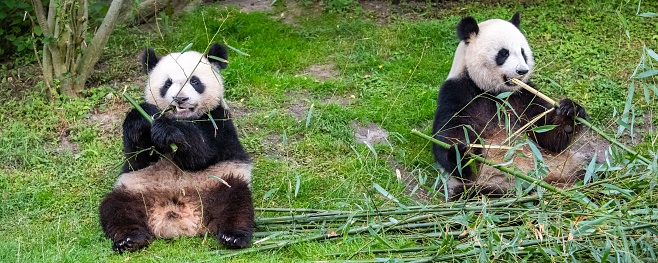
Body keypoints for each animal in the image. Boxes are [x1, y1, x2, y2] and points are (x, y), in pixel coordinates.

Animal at [98, 43, 254, 254]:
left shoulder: (218, 120)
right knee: (116, 208)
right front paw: (142, 118)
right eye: (167, 83)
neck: (183, 117)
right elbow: (138, 156)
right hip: (134, 190)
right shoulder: (138, 161)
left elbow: (203, 153)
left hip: (219, 182)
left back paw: (233, 237)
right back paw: (130, 240)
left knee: (236, 203)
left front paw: (169, 130)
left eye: (195, 81)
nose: (181, 99)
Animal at [430, 12, 588, 198]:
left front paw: (570, 112)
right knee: (478, 192)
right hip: (487, 183)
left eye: (523, 52)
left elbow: (547, 137)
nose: (522, 71)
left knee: (587, 170)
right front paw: (465, 154)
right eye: (503, 53)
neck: (495, 91)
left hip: (565, 165)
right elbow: (449, 134)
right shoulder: (457, 92)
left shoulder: (525, 95)